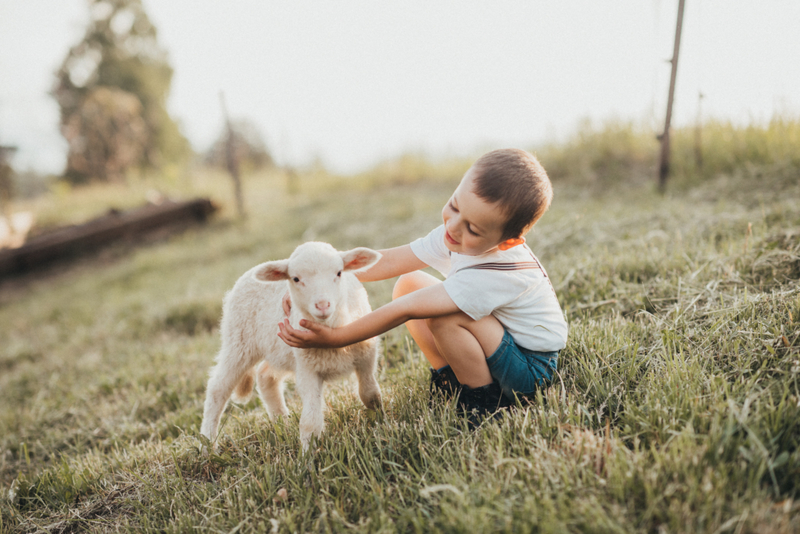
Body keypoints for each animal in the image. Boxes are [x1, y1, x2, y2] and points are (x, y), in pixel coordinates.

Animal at [203, 244, 384, 452]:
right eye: (296, 279)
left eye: (339, 273)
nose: (323, 305)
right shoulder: (307, 368)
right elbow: (310, 421)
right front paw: (308, 457)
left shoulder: (366, 356)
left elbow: (370, 394)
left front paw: (379, 422)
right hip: (238, 342)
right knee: (218, 388)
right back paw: (208, 445)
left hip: (278, 351)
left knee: (265, 376)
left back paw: (282, 424)